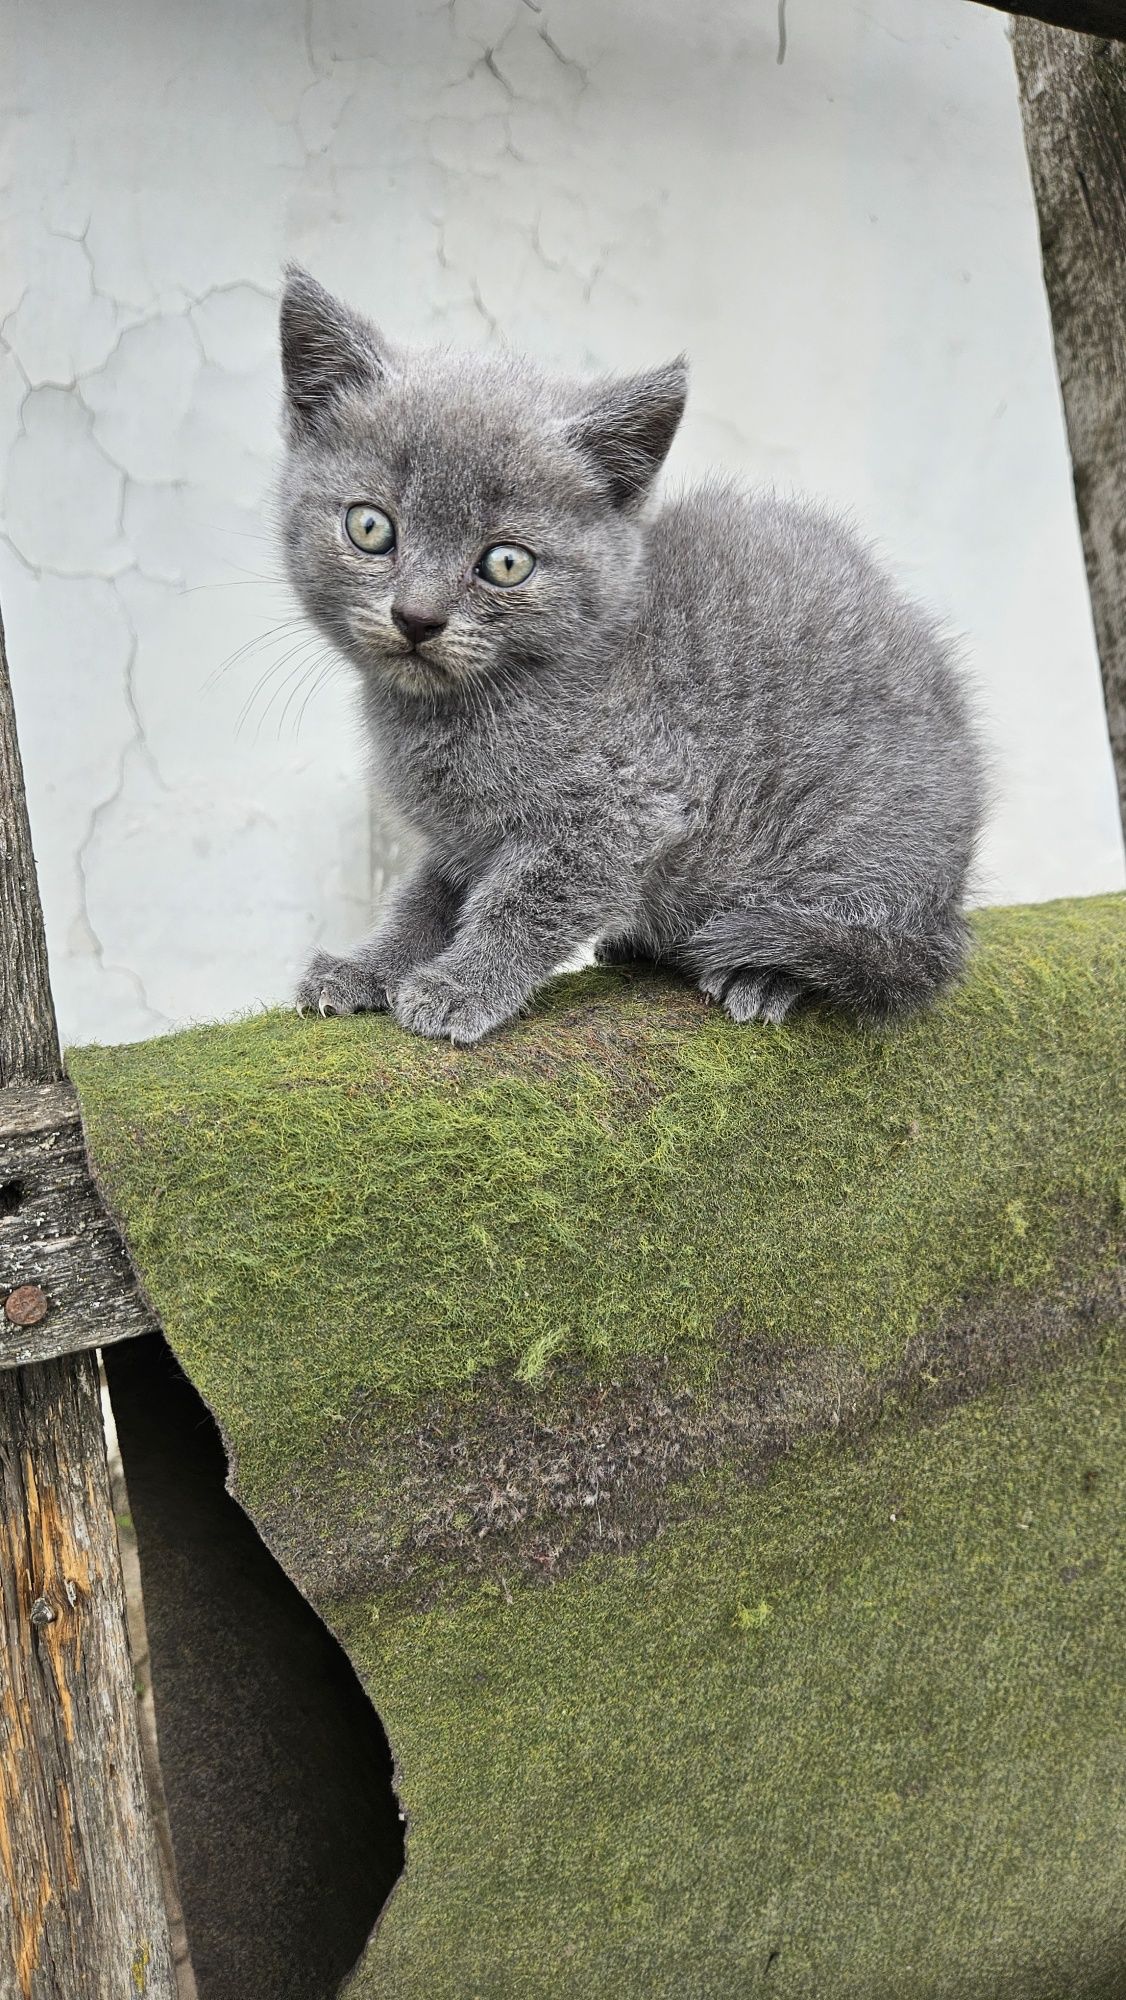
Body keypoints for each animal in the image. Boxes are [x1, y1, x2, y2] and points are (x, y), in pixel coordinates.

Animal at [280, 270, 988, 1048]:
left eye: (505, 562)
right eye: (370, 527)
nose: (417, 617)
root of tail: (946, 900)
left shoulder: (624, 807)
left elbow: (527, 902)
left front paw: (460, 986)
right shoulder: (464, 838)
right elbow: (425, 899)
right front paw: (367, 968)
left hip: (855, 852)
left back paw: (764, 974)